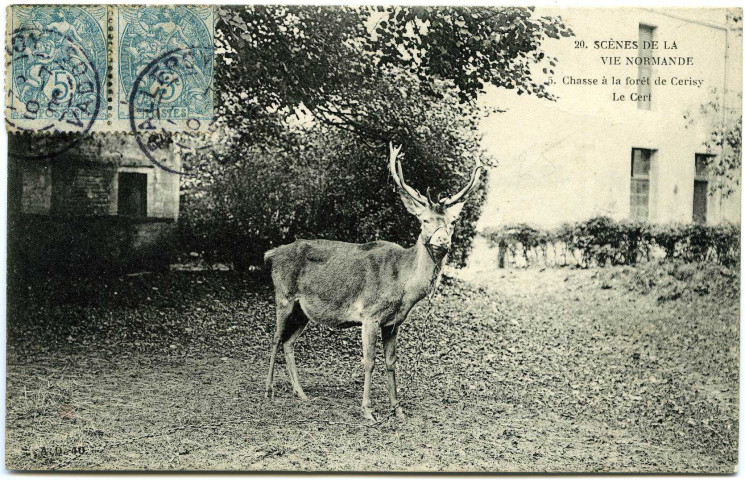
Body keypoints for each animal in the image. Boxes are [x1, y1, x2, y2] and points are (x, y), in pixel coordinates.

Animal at [263, 142, 482, 420]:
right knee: (275, 339)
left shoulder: (394, 322)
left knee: (288, 342)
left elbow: (391, 362)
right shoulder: (369, 314)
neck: (404, 287)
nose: (442, 240)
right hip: (283, 295)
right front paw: (368, 409)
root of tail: (271, 254)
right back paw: (269, 391)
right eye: (424, 220)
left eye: (453, 222)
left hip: (303, 311)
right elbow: (369, 361)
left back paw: (301, 394)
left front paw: (397, 409)